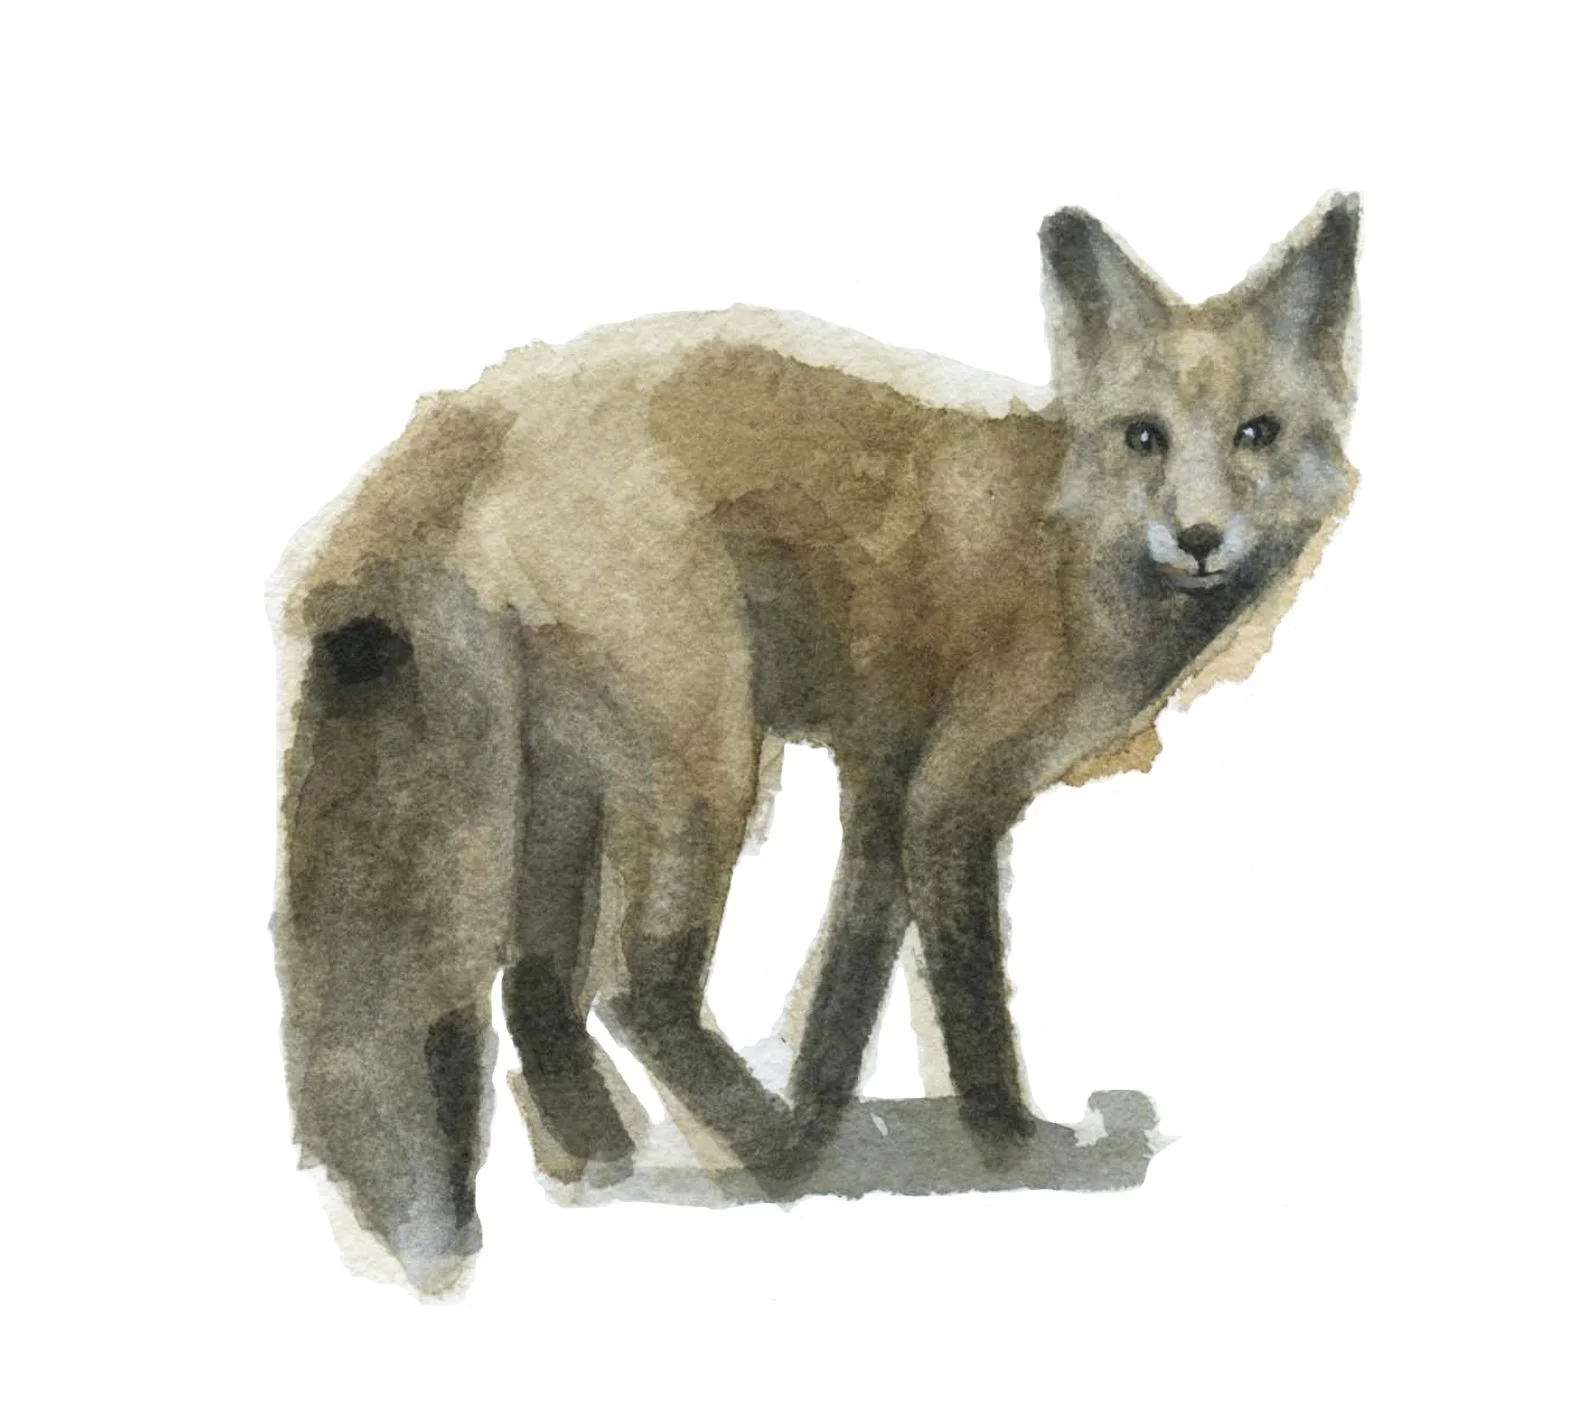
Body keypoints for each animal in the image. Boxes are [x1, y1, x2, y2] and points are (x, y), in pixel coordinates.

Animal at [272, 193, 1360, 1287]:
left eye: (1256, 434)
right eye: (1145, 437)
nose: (1200, 538)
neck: (1060, 544)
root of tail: (473, 408)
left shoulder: (884, 784)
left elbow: (847, 985)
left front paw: (831, 1109)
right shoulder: (949, 800)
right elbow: (970, 996)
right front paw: (1010, 1146)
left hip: (567, 786)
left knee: (535, 985)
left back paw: (613, 1152)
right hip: (708, 762)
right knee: (637, 991)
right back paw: (762, 1148)